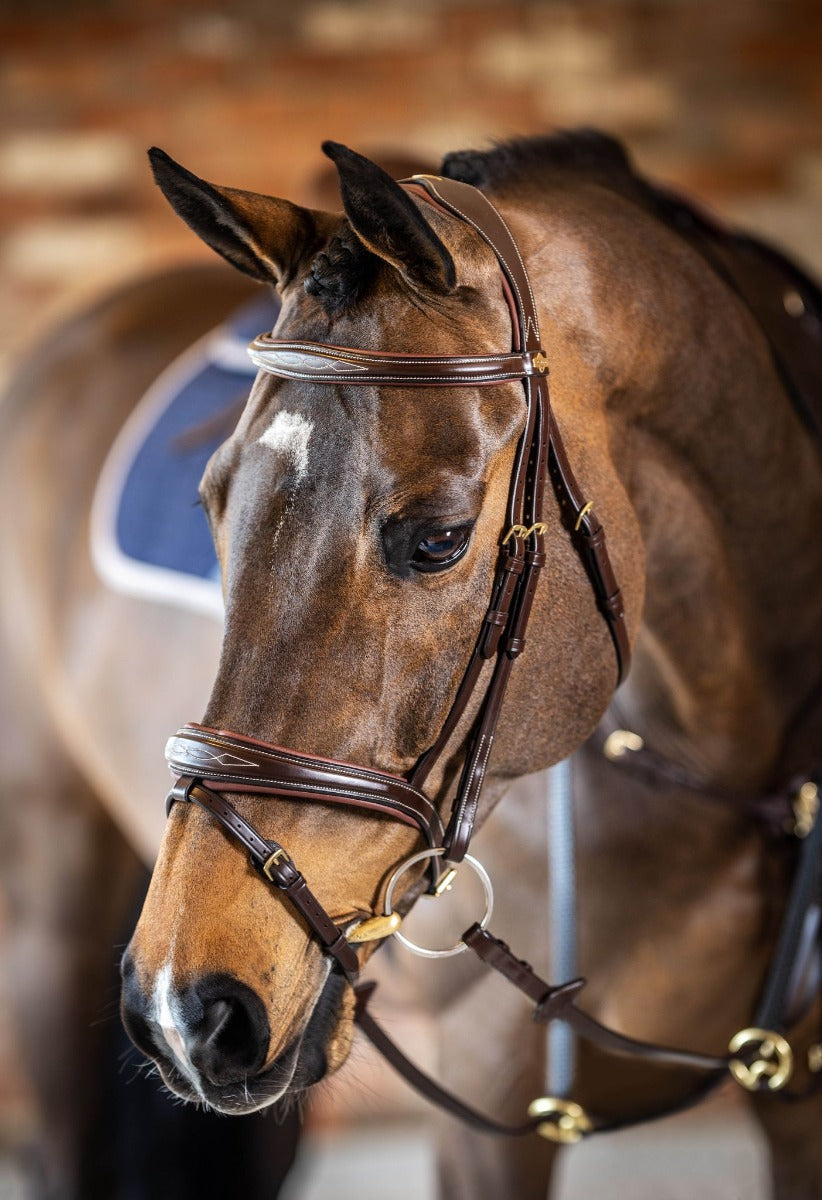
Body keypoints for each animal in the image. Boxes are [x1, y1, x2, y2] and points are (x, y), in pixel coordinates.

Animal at [0, 131, 816, 1200]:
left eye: (439, 540)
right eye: (211, 505)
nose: (185, 1006)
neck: (733, 768)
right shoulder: (486, 1103)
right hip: (46, 918)